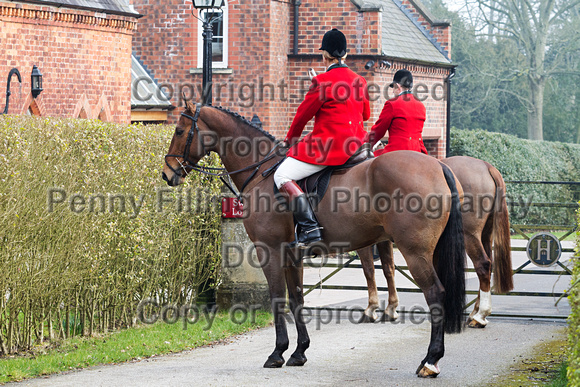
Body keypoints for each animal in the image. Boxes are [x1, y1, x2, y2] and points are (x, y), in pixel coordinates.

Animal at [162, 103, 466, 378]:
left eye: (179, 130)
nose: (167, 173)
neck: (262, 171)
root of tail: (438, 166)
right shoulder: (292, 254)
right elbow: (297, 298)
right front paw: (299, 352)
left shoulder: (269, 250)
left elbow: (277, 297)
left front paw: (277, 353)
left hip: (414, 252)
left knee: (435, 292)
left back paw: (430, 361)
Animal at [360, 156, 516, 328]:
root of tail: (487, 166)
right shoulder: (383, 239)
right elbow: (388, 269)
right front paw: (390, 308)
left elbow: (369, 270)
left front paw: (372, 308)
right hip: (485, 234)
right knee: (488, 264)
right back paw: (476, 313)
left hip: (469, 235)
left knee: (482, 264)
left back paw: (480, 314)